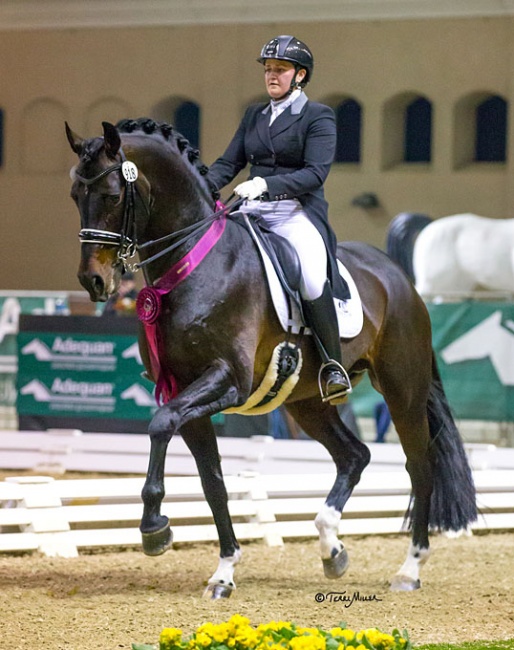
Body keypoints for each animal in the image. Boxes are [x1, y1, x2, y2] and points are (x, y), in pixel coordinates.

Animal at [65, 117, 476, 596]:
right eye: (75, 196)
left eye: (113, 195)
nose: (93, 281)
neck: (198, 264)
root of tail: (399, 277)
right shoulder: (184, 390)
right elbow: (213, 483)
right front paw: (223, 572)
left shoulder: (228, 379)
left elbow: (161, 424)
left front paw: (154, 529)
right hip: (308, 403)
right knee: (354, 456)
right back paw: (331, 548)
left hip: (402, 389)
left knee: (419, 466)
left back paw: (409, 568)